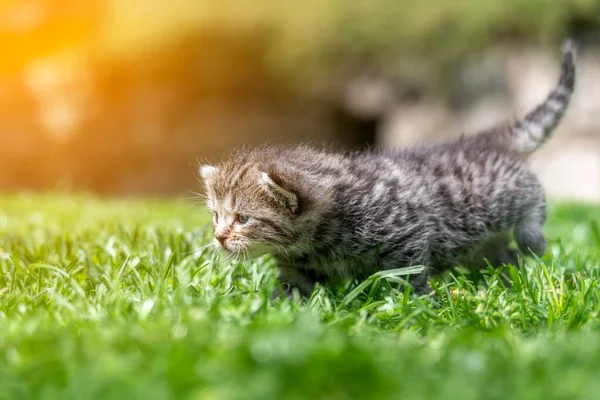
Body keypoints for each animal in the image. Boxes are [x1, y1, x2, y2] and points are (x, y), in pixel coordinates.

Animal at [198, 41, 576, 296]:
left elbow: (411, 275)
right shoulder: (298, 266)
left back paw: (532, 238)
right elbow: (293, 289)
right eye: (216, 216)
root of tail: (490, 139)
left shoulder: (405, 234)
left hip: (506, 194)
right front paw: (280, 308)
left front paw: (423, 302)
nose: (218, 237)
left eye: (243, 219)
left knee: (534, 202)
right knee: (501, 253)